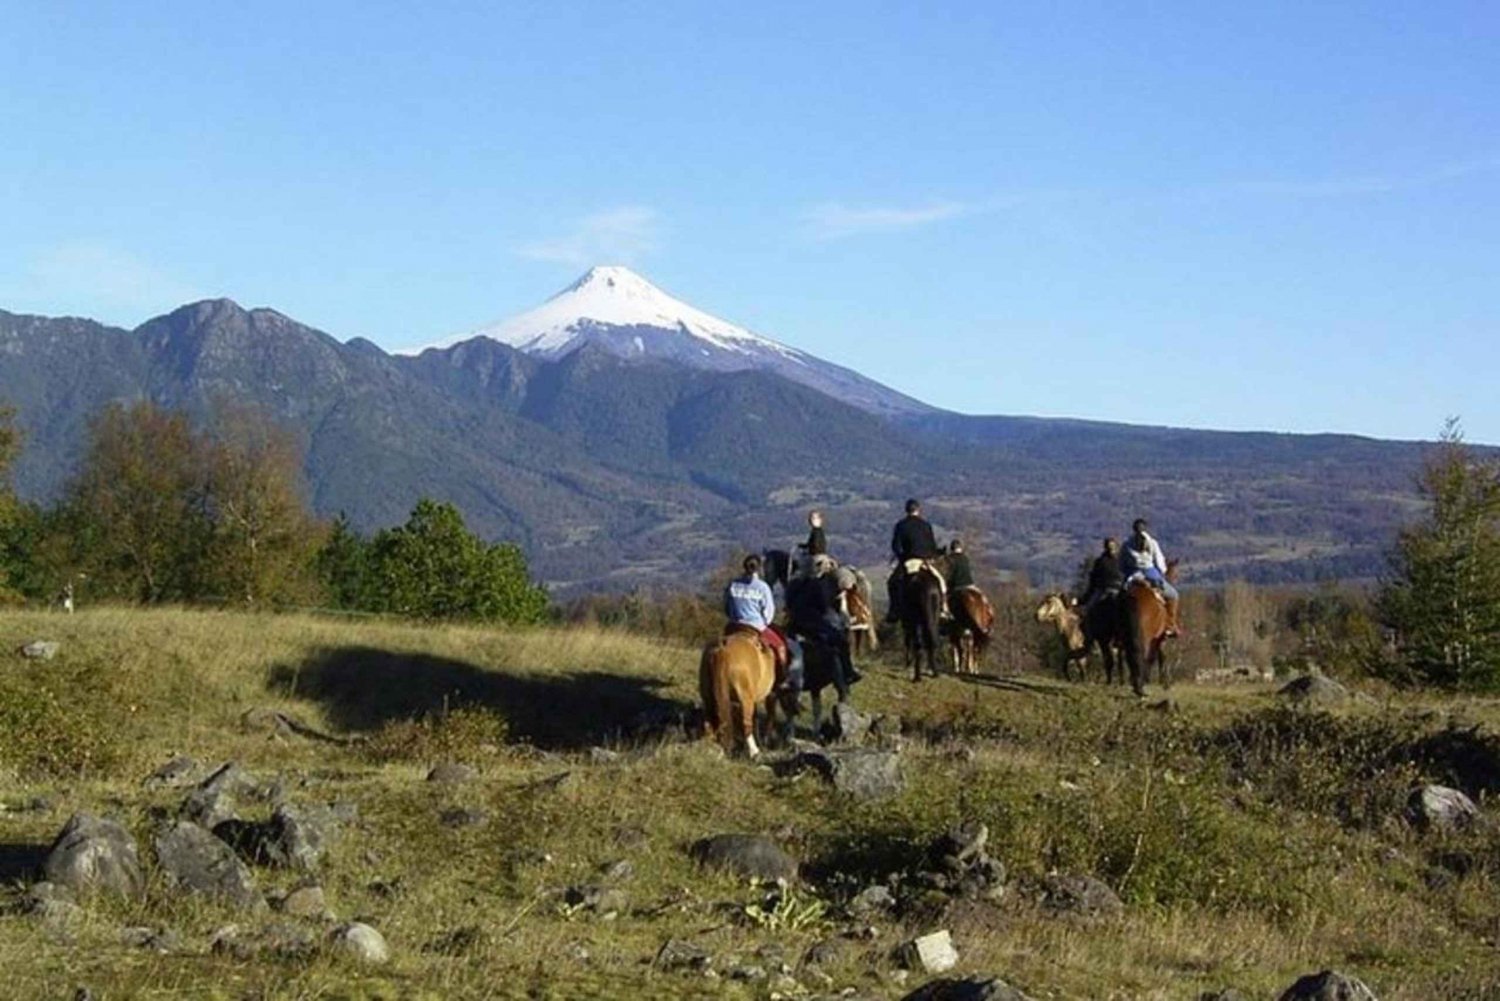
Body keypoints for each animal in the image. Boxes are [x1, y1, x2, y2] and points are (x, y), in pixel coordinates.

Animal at [1128, 561, 1182, 702]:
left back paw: (1136, 685)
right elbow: (1160, 656)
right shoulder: (1161, 638)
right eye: (1176, 573)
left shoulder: (1157, 639)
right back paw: (1140, 687)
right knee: (1142, 655)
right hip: (1145, 637)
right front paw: (1165, 683)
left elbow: (1154, 657)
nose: (1175, 580)